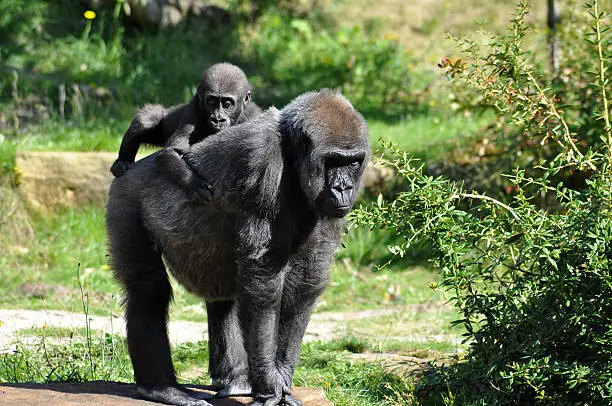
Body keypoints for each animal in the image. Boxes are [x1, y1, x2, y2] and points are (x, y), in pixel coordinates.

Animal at [106, 89, 368, 406]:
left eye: (353, 162)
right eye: (333, 161)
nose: (344, 188)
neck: (292, 153)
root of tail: (130, 168)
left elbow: (306, 282)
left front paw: (281, 374)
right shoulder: (262, 165)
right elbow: (262, 286)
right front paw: (269, 381)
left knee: (222, 295)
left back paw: (236, 381)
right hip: (125, 196)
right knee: (148, 287)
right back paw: (161, 388)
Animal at [109, 62, 260, 178]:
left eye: (227, 104)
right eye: (211, 102)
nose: (217, 119)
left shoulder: (254, 116)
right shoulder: (192, 112)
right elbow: (171, 152)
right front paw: (192, 184)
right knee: (146, 121)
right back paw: (122, 162)